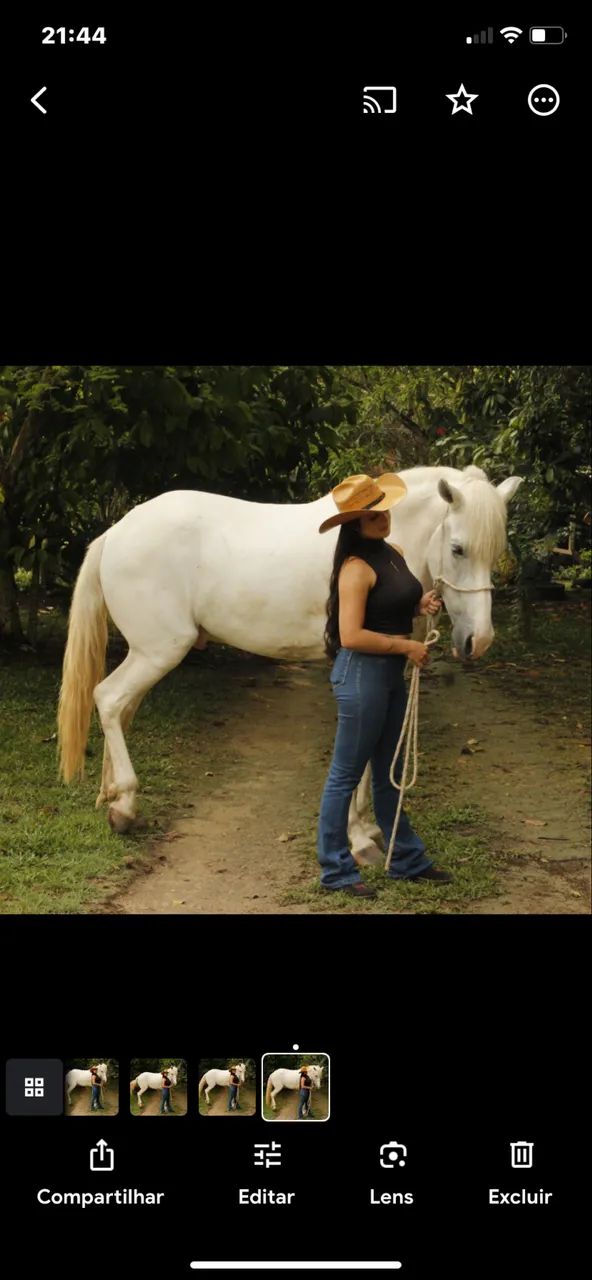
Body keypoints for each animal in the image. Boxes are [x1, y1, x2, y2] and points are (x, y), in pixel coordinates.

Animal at [57, 464, 523, 854]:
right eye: (458, 549)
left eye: (496, 550)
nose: (479, 640)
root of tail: (117, 531)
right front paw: (357, 838)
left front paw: (365, 827)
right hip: (159, 650)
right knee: (109, 699)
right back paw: (125, 806)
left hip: (147, 654)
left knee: (121, 709)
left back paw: (110, 795)